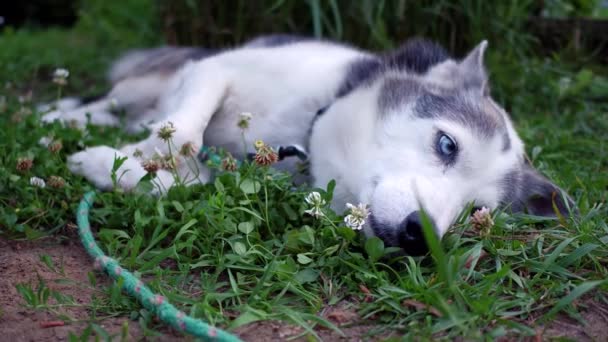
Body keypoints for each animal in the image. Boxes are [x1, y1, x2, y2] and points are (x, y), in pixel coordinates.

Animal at [42, 34, 576, 255]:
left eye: (475, 212)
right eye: (448, 145)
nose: (419, 238)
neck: (306, 131)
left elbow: (193, 178)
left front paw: (116, 167)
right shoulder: (214, 71)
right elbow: (184, 131)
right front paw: (128, 157)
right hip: (149, 80)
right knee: (107, 101)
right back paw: (55, 115)